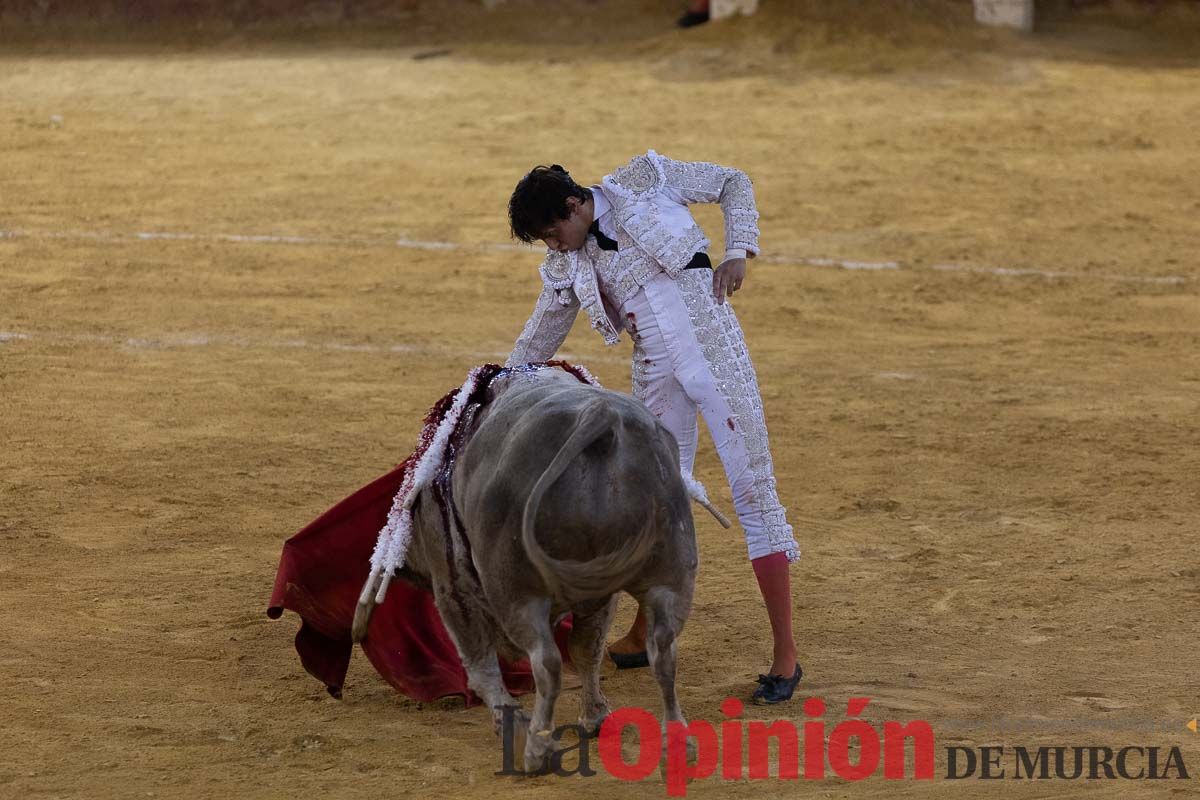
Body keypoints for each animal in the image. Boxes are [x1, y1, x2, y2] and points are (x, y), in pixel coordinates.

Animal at [350, 367, 700, 772]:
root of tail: (601, 417)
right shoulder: (599, 597)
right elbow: (586, 649)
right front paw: (595, 717)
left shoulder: (453, 591)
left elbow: (481, 667)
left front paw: (513, 727)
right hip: (669, 576)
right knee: (663, 651)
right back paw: (678, 742)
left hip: (514, 589)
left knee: (545, 661)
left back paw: (535, 748)